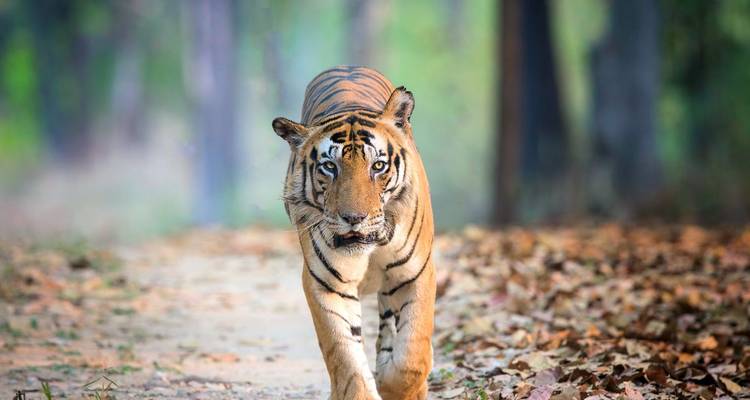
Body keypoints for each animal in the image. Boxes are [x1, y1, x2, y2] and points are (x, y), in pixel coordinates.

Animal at [272, 66, 435, 400]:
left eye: (378, 166)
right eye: (329, 167)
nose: (353, 218)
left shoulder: (416, 274)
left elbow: (412, 355)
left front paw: (400, 386)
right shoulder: (327, 284)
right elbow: (344, 356)